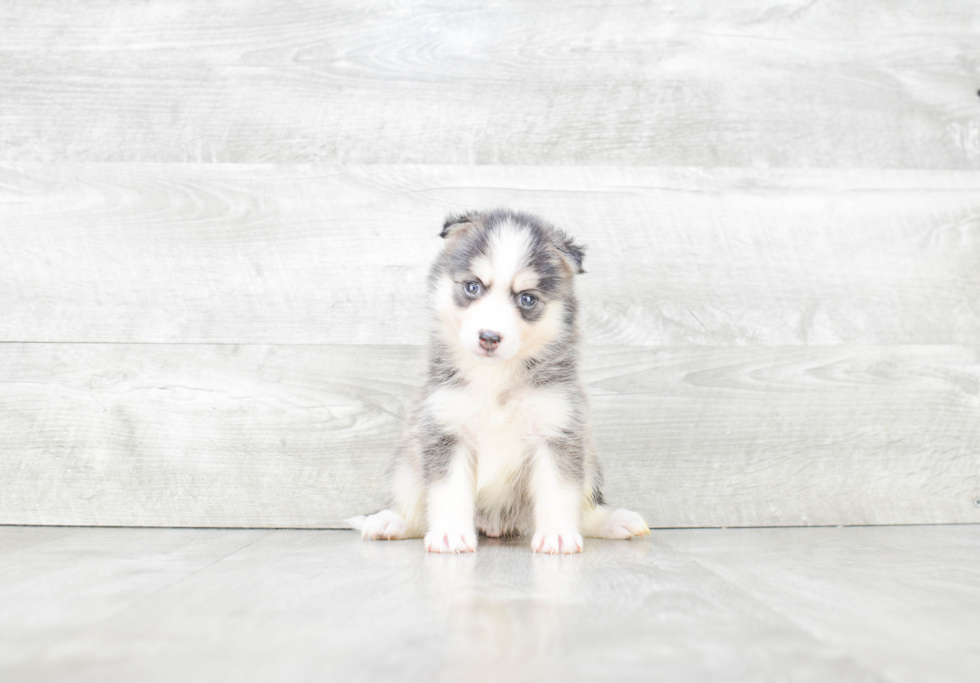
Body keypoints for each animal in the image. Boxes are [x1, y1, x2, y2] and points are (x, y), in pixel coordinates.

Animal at [350, 211, 652, 552]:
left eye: (527, 298)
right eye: (473, 287)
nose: (489, 337)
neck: (494, 375)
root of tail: (496, 525)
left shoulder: (557, 430)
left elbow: (559, 493)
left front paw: (558, 534)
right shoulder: (446, 432)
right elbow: (447, 492)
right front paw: (450, 533)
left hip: (589, 461)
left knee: (586, 509)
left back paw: (614, 521)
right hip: (406, 462)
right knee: (415, 508)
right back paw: (392, 521)